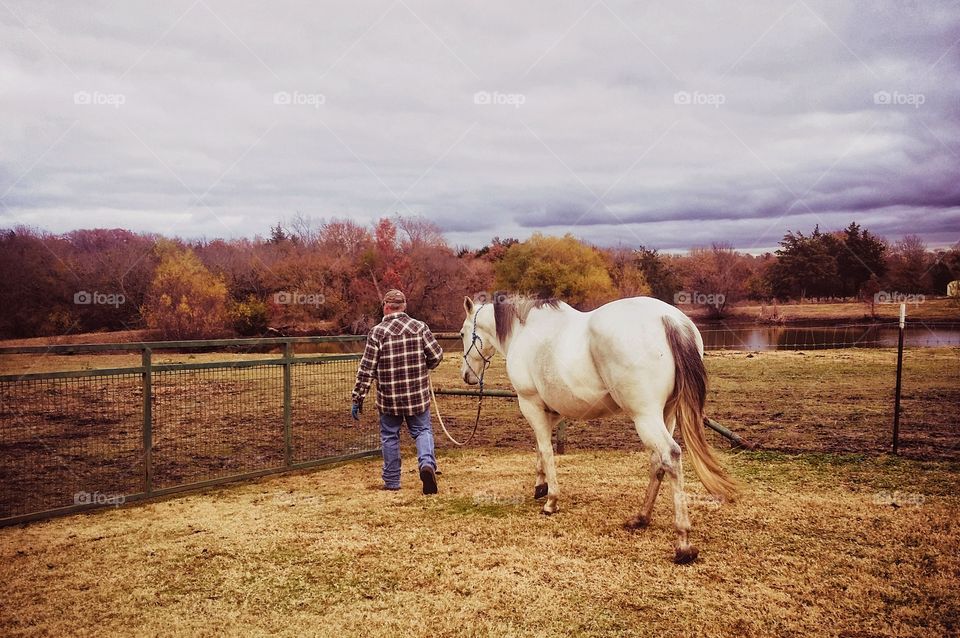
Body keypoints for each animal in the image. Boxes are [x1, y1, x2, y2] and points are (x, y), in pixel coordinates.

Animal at [458, 292, 736, 564]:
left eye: (461, 334)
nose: (467, 376)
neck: (523, 330)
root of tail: (670, 319)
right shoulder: (552, 413)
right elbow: (540, 447)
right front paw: (540, 486)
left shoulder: (530, 404)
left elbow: (546, 450)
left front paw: (551, 501)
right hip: (666, 415)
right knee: (658, 462)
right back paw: (641, 518)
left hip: (645, 416)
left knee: (670, 456)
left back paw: (683, 544)